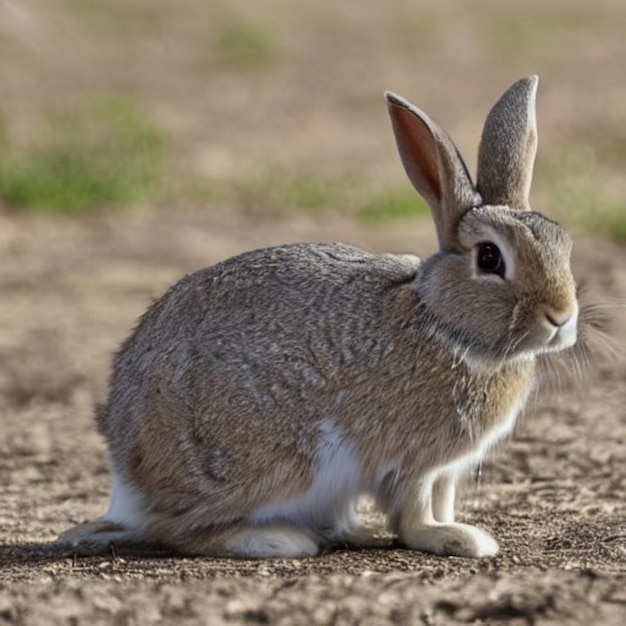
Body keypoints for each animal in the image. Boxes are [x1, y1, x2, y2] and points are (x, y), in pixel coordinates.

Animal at [58, 75, 576, 560]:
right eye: (489, 258)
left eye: (563, 242)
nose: (562, 317)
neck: (444, 324)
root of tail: (128, 480)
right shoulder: (411, 461)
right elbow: (414, 515)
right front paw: (455, 539)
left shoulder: (447, 470)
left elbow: (442, 500)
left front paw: (459, 530)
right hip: (279, 462)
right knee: (176, 529)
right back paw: (279, 540)